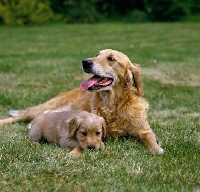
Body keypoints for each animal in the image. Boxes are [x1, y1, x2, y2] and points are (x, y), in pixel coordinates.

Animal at [0, 48, 164, 154]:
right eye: (97, 54)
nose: (85, 62)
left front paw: (156, 148)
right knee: (19, 116)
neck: (113, 104)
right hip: (42, 108)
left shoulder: (143, 129)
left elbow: (149, 137)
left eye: (111, 59)